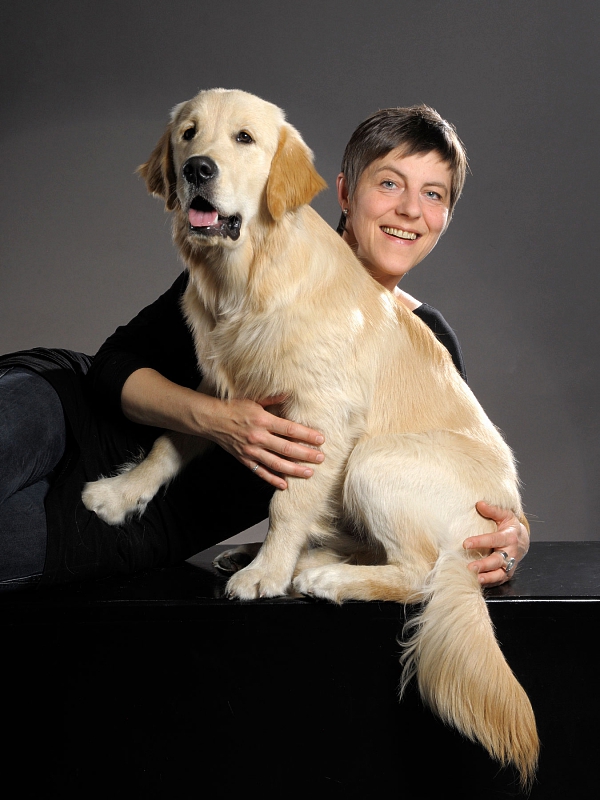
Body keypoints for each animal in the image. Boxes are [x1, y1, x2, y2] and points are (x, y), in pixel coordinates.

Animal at [81, 89, 540, 788]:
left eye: (244, 139)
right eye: (189, 134)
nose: (198, 169)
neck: (249, 277)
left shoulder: (319, 414)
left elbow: (287, 503)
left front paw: (267, 574)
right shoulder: (222, 390)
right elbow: (168, 441)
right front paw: (118, 495)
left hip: (375, 461)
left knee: (419, 573)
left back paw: (321, 576)